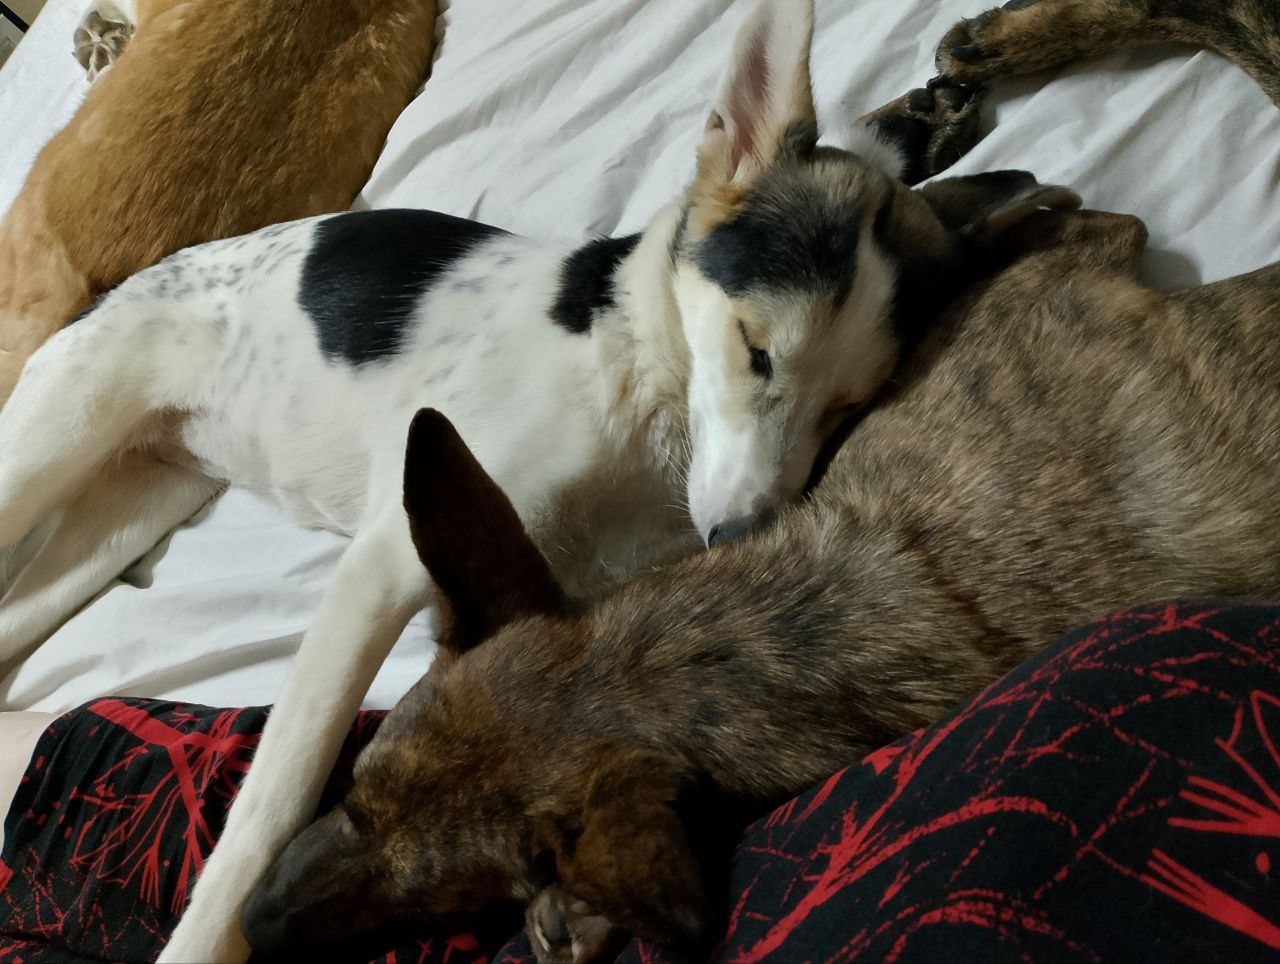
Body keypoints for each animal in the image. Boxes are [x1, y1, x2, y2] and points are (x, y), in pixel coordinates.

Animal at [0, 1, 1083, 957]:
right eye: (755, 350)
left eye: (852, 408)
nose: (741, 540)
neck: (637, 385)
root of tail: (121, 285)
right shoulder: (382, 567)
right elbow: (270, 807)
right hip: (52, 441)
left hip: (126, 509)